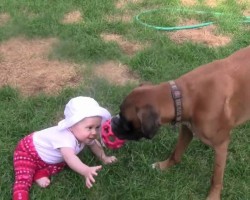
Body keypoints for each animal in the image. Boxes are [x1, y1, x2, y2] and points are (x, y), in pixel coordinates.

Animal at [111, 46, 250, 199]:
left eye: (125, 120)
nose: (113, 121)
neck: (184, 96)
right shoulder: (187, 130)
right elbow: (176, 153)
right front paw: (163, 166)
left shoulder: (221, 145)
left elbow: (216, 178)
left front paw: (213, 196)